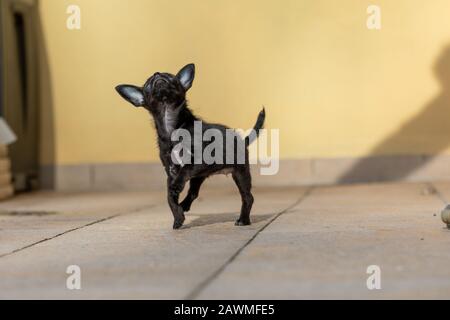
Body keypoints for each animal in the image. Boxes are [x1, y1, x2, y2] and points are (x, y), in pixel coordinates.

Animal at [115, 63, 268, 229]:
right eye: (148, 83)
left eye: (172, 78)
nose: (157, 74)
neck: (172, 127)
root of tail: (242, 140)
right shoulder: (170, 171)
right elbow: (169, 197)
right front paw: (177, 217)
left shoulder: (199, 160)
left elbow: (185, 169)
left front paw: (177, 192)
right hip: (200, 177)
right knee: (194, 193)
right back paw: (184, 205)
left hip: (240, 172)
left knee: (248, 197)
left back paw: (243, 220)